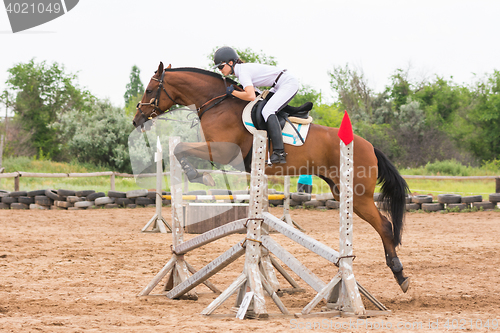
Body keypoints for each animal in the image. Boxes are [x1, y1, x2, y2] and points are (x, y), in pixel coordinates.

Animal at [133, 61, 410, 292]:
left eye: (149, 89)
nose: (137, 120)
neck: (216, 103)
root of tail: (369, 146)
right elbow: (181, 149)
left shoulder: (221, 150)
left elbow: (181, 148)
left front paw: (200, 177)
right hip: (340, 191)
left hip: (358, 195)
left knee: (385, 226)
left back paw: (400, 275)